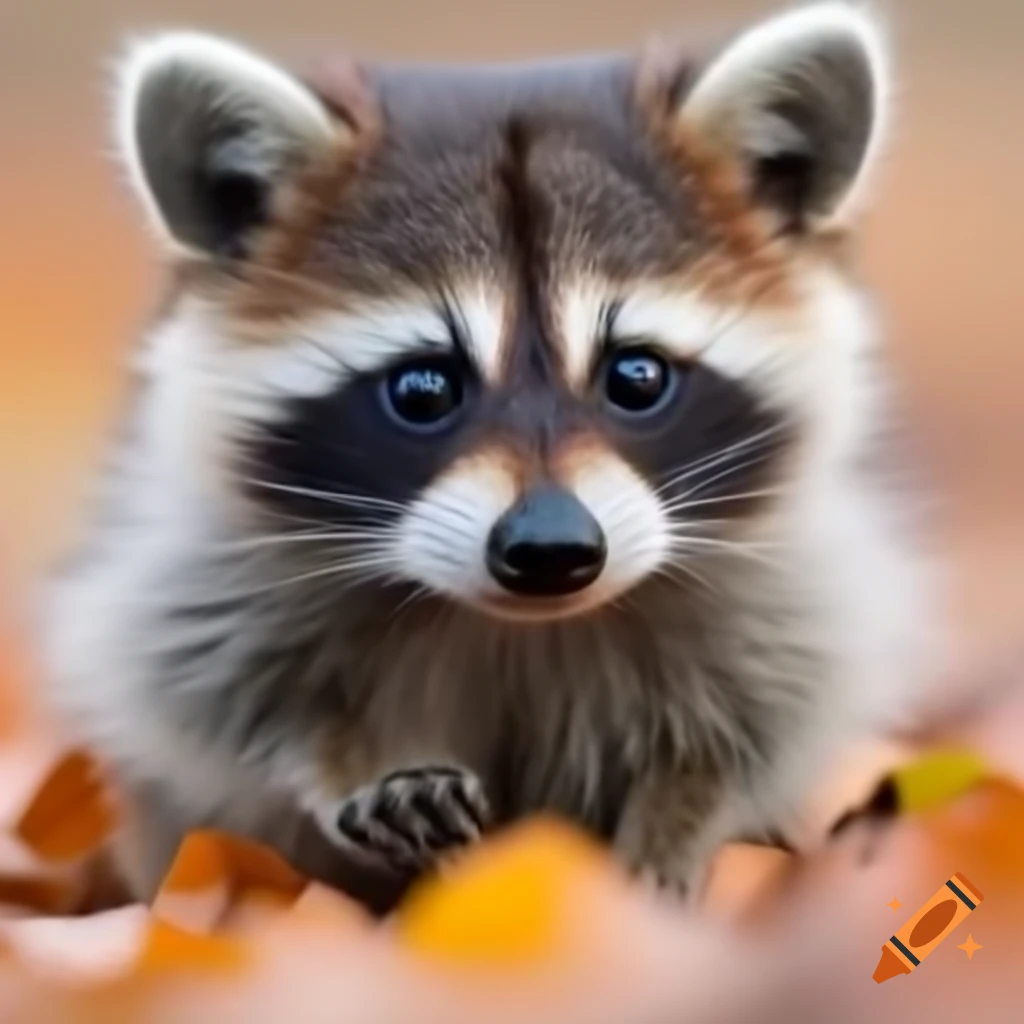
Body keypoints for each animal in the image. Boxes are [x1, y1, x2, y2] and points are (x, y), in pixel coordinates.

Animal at [43, 3, 933, 908]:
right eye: (424, 389)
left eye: (637, 376)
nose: (550, 550)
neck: (520, 627)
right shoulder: (205, 578)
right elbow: (230, 691)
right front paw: (354, 763)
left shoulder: (783, 585)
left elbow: (761, 715)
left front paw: (676, 820)